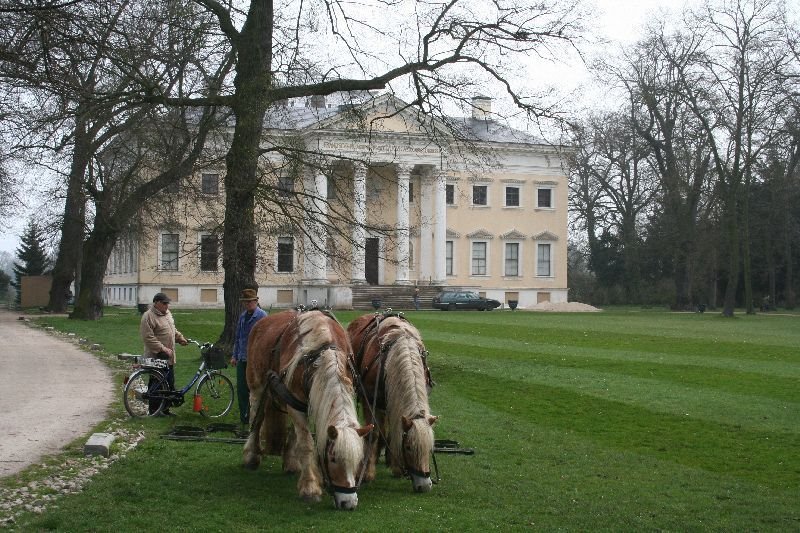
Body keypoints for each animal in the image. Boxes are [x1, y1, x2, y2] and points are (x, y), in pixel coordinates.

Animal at [242, 310, 374, 510]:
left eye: (358, 461)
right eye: (333, 459)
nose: (349, 503)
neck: (323, 352)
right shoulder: (295, 401)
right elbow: (306, 445)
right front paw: (310, 488)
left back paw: (291, 463)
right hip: (256, 386)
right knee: (256, 420)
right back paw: (251, 456)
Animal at [348, 312, 438, 490]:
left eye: (430, 448)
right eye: (409, 447)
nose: (424, 485)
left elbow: (395, 428)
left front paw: (396, 465)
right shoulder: (370, 400)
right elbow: (373, 433)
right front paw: (368, 472)